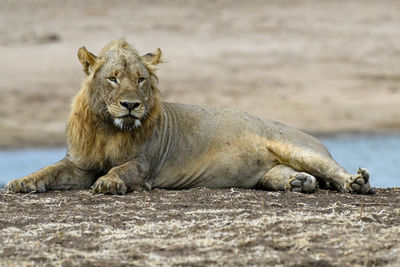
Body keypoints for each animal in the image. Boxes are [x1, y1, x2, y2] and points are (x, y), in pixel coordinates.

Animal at [3, 38, 372, 196]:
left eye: (140, 79)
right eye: (113, 78)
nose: (130, 105)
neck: (109, 127)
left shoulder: (145, 164)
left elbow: (123, 169)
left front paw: (109, 182)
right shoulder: (78, 164)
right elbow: (49, 170)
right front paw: (22, 181)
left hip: (297, 147)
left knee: (333, 170)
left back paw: (355, 183)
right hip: (271, 169)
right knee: (283, 176)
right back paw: (298, 183)